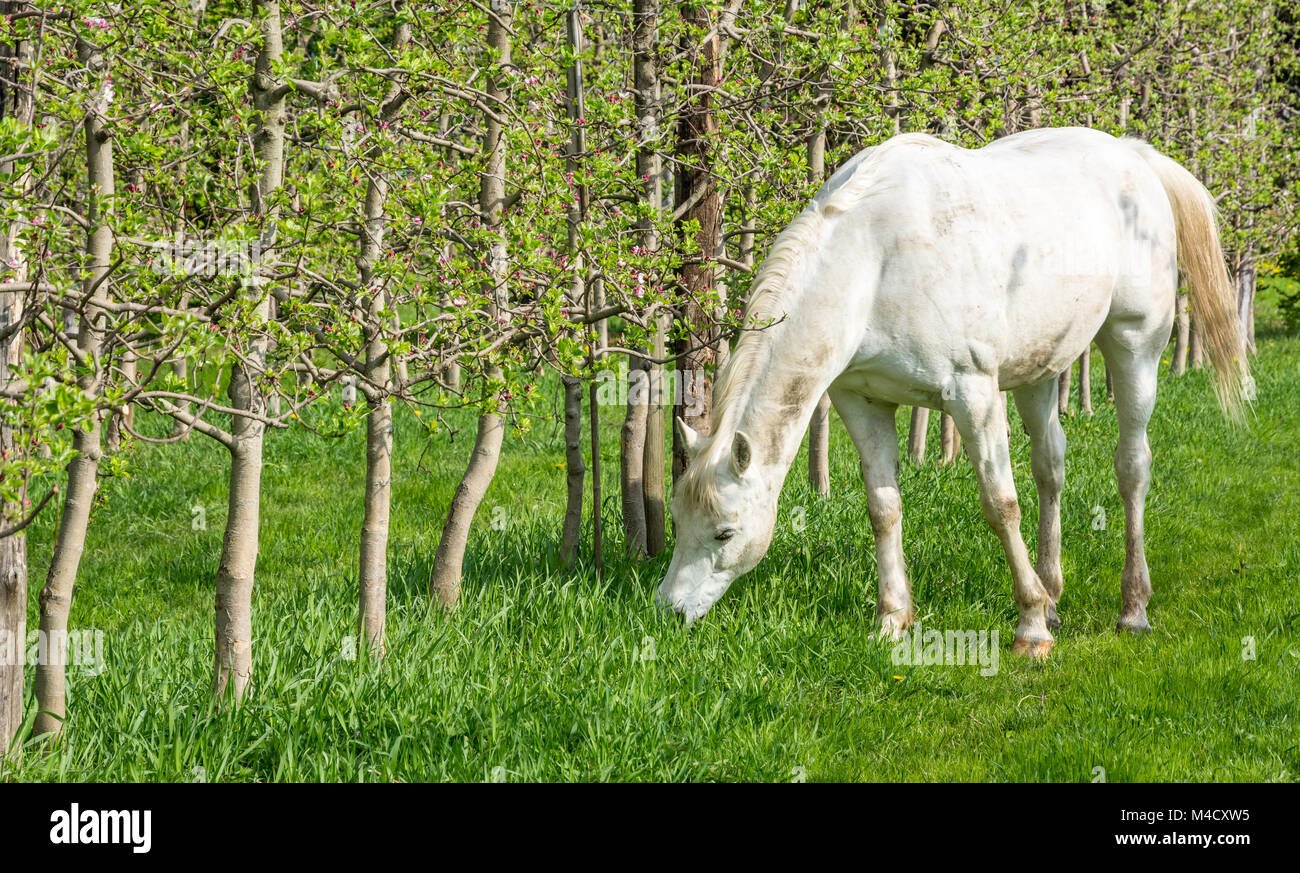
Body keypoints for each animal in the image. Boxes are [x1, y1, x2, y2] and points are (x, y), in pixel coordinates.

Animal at [660, 124, 1248, 654]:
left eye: (725, 533)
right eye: (677, 520)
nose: (670, 610)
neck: (874, 263)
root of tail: (1134, 155)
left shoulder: (972, 395)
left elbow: (1000, 503)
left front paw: (1029, 628)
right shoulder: (862, 400)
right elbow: (883, 507)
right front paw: (892, 619)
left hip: (1134, 346)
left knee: (1132, 467)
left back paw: (1131, 608)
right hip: (1039, 371)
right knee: (1051, 468)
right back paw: (1054, 596)